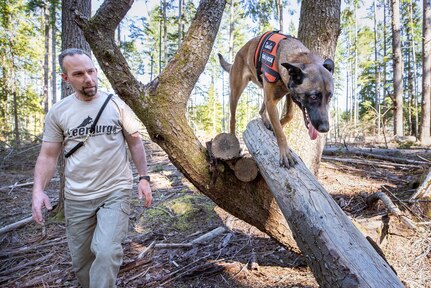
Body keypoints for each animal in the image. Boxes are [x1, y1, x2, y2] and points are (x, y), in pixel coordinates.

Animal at [218, 31, 336, 168]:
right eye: (313, 96)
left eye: (330, 97)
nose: (325, 128)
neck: (298, 56)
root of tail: (238, 53)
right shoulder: (272, 101)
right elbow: (281, 133)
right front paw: (285, 153)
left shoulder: (287, 93)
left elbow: (289, 115)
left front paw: (277, 125)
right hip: (236, 92)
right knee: (232, 119)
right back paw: (233, 139)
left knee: (261, 109)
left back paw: (266, 119)